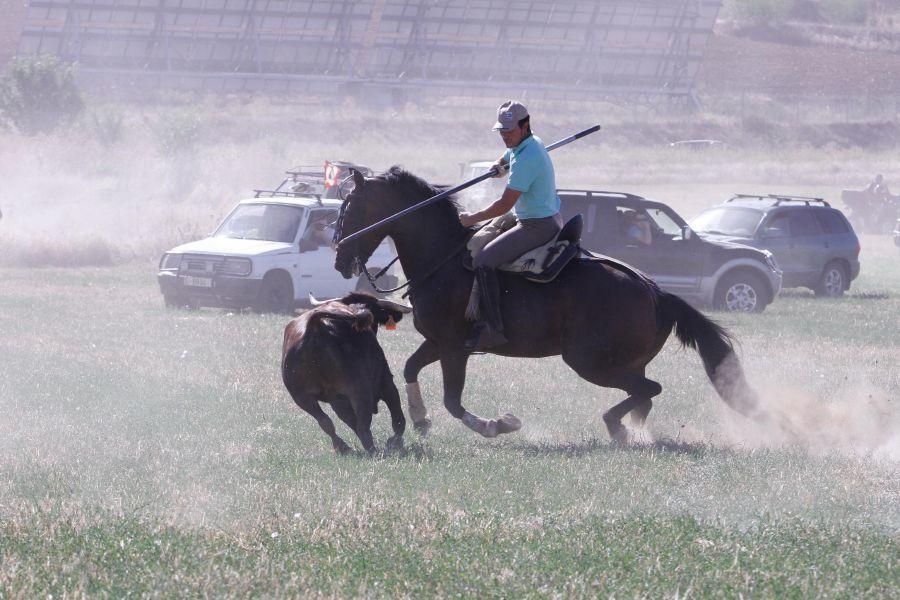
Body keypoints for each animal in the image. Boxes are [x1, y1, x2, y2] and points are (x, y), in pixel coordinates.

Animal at [332, 166, 768, 442]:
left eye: (352, 208)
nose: (339, 257)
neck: (445, 257)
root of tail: (655, 292)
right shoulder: (438, 343)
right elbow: (409, 368)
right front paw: (421, 420)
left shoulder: (456, 348)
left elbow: (453, 402)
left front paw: (498, 425)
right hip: (619, 362)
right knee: (644, 395)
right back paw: (629, 429)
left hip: (589, 361)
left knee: (650, 389)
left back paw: (617, 427)